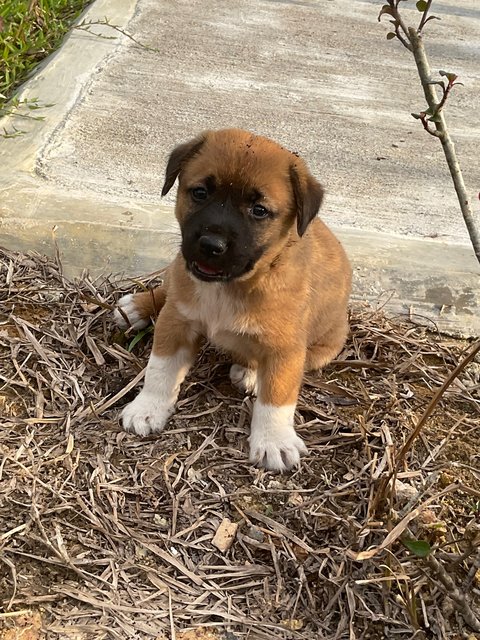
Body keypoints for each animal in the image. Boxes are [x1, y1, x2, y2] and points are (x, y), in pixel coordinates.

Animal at [114, 129, 350, 470]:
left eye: (259, 210)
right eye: (200, 192)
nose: (211, 245)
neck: (233, 286)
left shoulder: (286, 349)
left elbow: (277, 397)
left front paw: (274, 442)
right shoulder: (176, 322)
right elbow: (160, 369)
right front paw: (147, 408)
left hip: (323, 348)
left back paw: (250, 374)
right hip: (177, 272)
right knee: (168, 286)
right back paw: (137, 307)